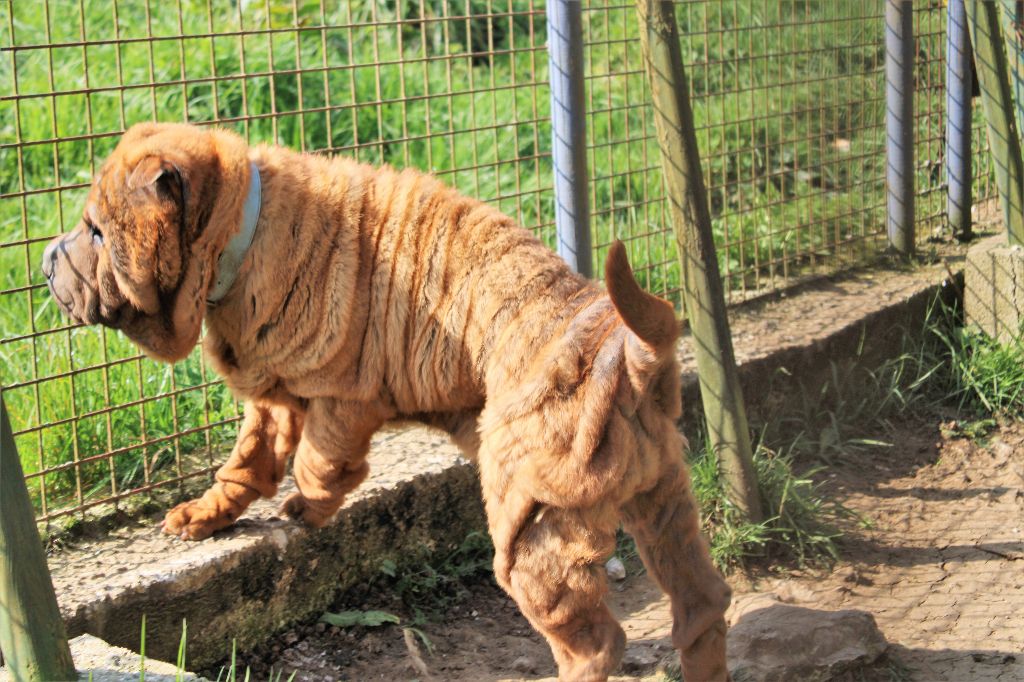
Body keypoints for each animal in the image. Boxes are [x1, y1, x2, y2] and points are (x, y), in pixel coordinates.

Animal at [44, 122, 733, 679]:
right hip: (663, 502)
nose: (48, 259)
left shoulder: (341, 392)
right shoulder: (271, 391)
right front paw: (204, 516)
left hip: (532, 533)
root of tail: (626, 350)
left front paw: (307, 508)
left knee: (595, 644)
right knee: (702, 608)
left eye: (97, 233)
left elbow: (318, 459)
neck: (239, 228)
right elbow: (247, 460)